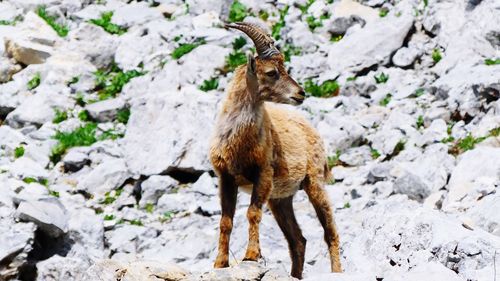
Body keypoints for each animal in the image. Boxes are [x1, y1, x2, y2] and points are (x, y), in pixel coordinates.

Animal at [209, 21, 342, 278]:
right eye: (272, 72)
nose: (301, 93)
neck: (239, 142)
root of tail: (312, 129)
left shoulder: (263, 174)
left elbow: (252, 213)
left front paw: (251, 255)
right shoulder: (226, 178)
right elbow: (225, 221)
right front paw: (220, 263)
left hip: (314, 183)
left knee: (330, 232)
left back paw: (337, 272)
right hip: (281, 199)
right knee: (298, 240)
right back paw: (295, 275)